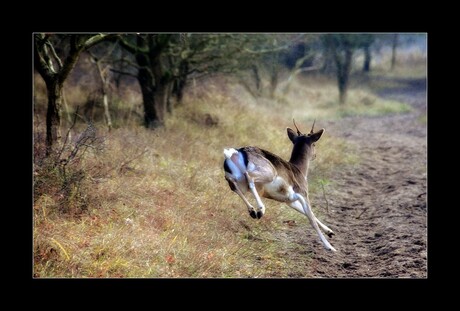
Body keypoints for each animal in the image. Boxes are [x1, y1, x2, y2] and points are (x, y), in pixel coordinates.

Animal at [223, 120, 334, 252]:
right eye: (314, 144)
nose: (315, 156)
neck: (300, 171)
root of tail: (235, 153)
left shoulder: (289, 200)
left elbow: (307, 213)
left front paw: (330, 232)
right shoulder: (303, 194)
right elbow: (311, 218)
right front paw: (330, 247)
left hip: (236, 179)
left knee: (233, 185)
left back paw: (253, 212)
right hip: (267, 173)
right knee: (249, 177)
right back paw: (261, 210)